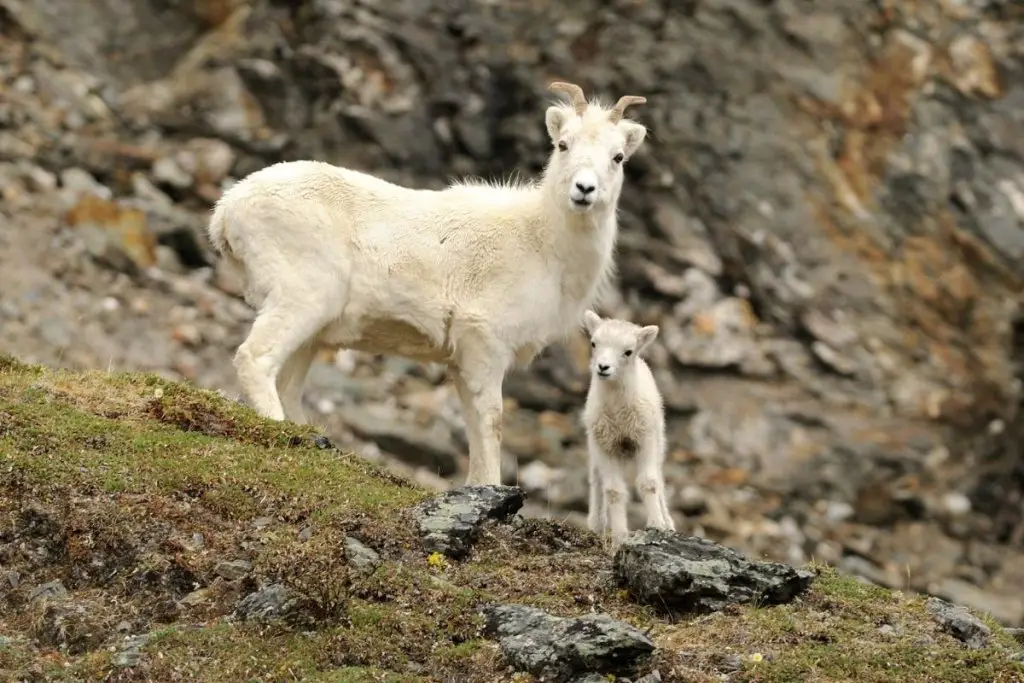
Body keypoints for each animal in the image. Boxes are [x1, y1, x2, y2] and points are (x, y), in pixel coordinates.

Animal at [207, 80, 647, 485]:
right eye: (563, 145)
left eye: (617, 157)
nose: (584, 190)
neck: (540, 240)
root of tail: (227, 210)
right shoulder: (485, 346)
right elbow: (492, 422)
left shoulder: (462, 362)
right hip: (301, 300)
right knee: (255, 360)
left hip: (311, 333)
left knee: (288, 386)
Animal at [581, 311, 675, 548]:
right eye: (594, 343)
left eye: (628, 351)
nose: (603, 367)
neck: (618, 413)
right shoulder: (605, 446)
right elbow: (613, 491)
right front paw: (619, 538)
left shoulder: (645, 439)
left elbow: (649, 484)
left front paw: (657, 525)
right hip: (594, 448)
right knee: (596, 481)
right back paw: (596, 524)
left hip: (658, 442)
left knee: (659, 479)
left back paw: (668, 522)